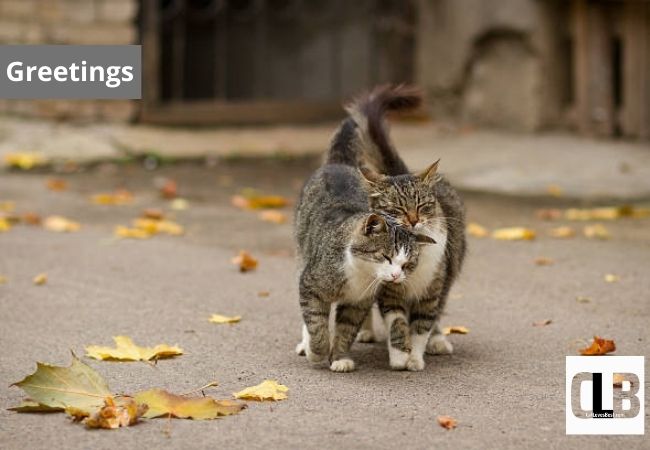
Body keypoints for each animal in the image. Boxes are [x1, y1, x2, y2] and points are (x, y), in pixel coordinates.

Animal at [294, 117, 436, 372]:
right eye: (386, 257)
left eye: (407, 265)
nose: (396, 276)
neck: (359, 274)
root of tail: (338, 164)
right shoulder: (311, 284)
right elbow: (316, 324)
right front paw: (316, 351)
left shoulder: (358, 303)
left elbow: (346, 330)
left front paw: (340, 357)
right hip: (302, 256)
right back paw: (305, 343)